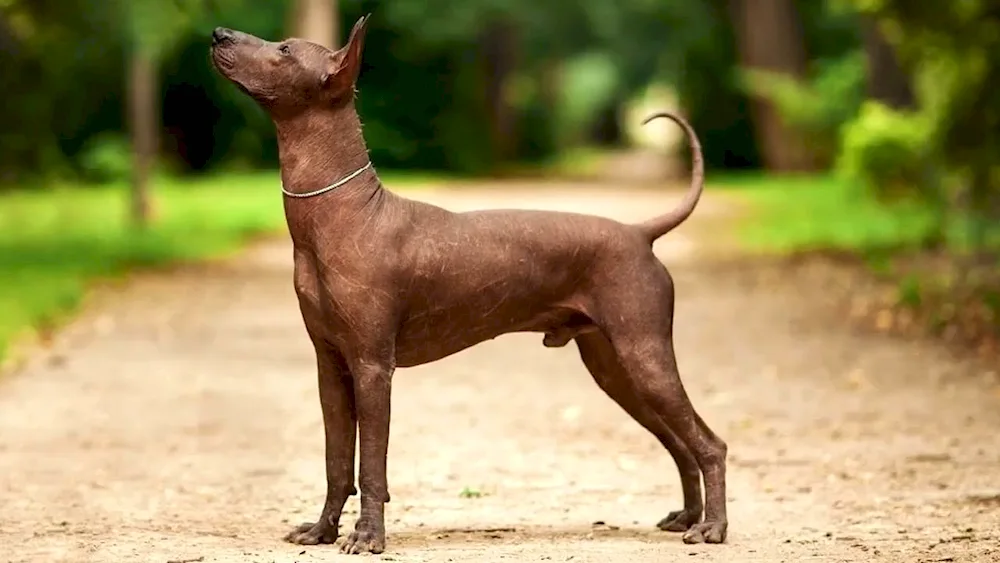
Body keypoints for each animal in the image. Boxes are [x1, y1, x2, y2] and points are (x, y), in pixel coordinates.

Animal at [209, 15, 728, 556]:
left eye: (285, 51)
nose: (220, 33)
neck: (344, 213)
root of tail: (639, 232)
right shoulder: (330, 367)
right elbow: (336, 461)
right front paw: (322, 530)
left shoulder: (373, 367)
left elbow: (370, 464)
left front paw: (368, 536)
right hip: (615, 369)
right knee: (681, 444)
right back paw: (687, 516)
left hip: (643, 355)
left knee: (710, 444)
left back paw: (711, 527)